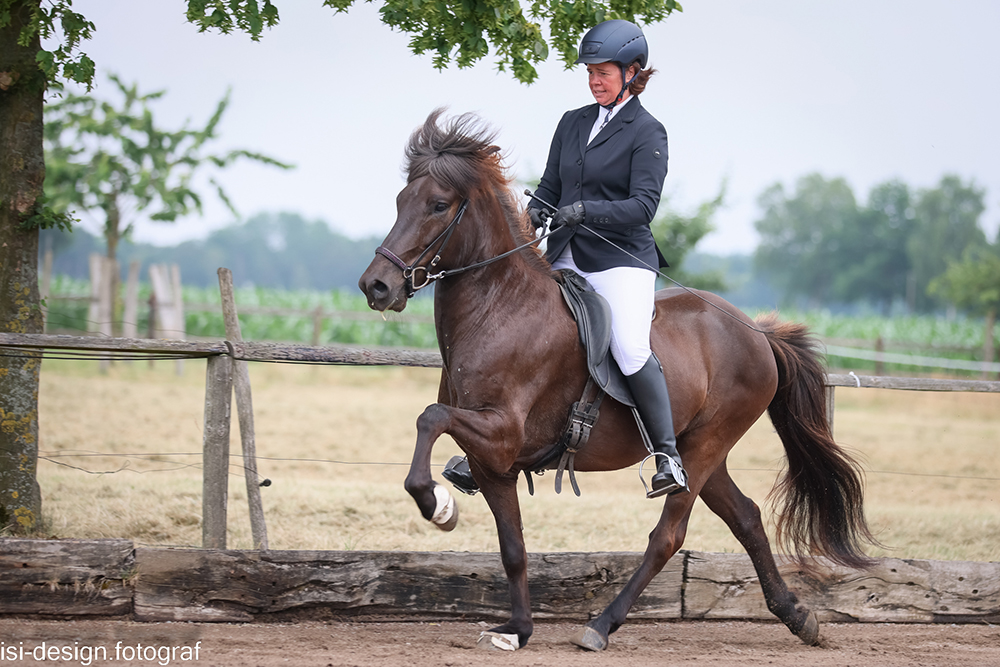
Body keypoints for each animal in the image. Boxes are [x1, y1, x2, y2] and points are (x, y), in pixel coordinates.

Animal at [360, 109, 876, 652]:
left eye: (438, 205)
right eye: (400, 201)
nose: (376, 286)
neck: (500, 309)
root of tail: (757, 332)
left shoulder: (501, 432)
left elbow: (430, 417)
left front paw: (435, 504)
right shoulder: (492, 463)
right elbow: (513, 547)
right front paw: (517, 630)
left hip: (707, 445)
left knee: (668, 536)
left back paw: (602, 625)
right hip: (703, 451)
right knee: (748, 519)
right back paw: (798, 616)